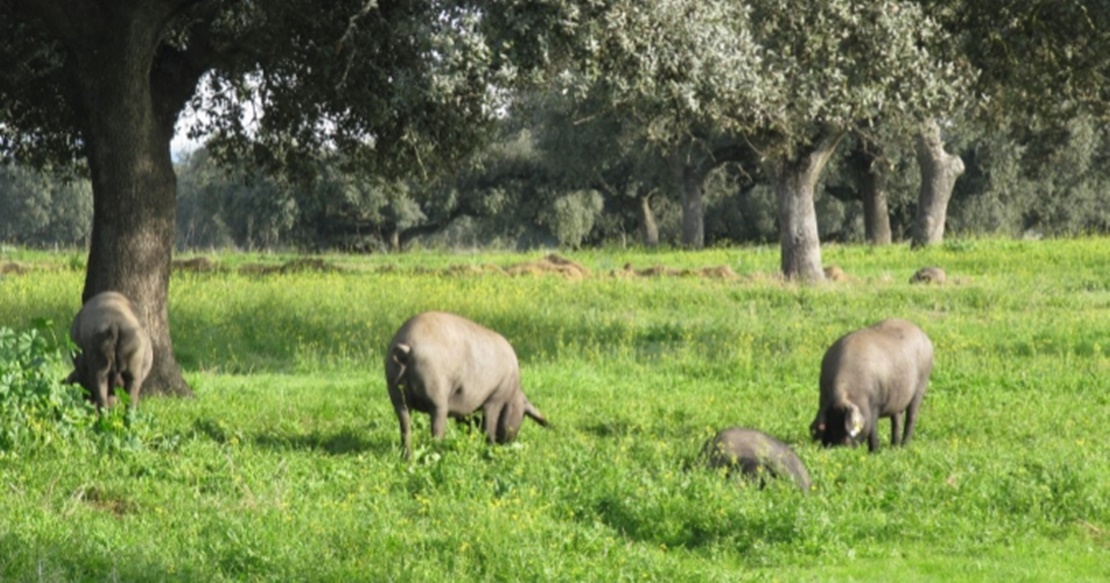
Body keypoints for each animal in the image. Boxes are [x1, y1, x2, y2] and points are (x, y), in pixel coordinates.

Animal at [386, 310, 550, 457]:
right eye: (522, 416)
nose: (506, 443)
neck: (513, 393)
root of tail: (405, 350)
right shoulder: (496, 397)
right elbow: (488, 427)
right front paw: (490, 448)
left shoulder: (464, 405)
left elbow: (467, 424)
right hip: (436, 395)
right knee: (436, 431)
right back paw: (438, 454)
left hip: (395, 394)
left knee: (405, 428)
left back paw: (407, 458)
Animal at [812, 317, 932, 450]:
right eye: (830, 426)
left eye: (845, 426)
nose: (839, 448)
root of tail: (924, 336)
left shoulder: (875, 404)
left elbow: (872, 429)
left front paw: (874, 451)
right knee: (897, 419)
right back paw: (894, 447)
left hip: (921, 384)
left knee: (911, 417)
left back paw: (904, 446)